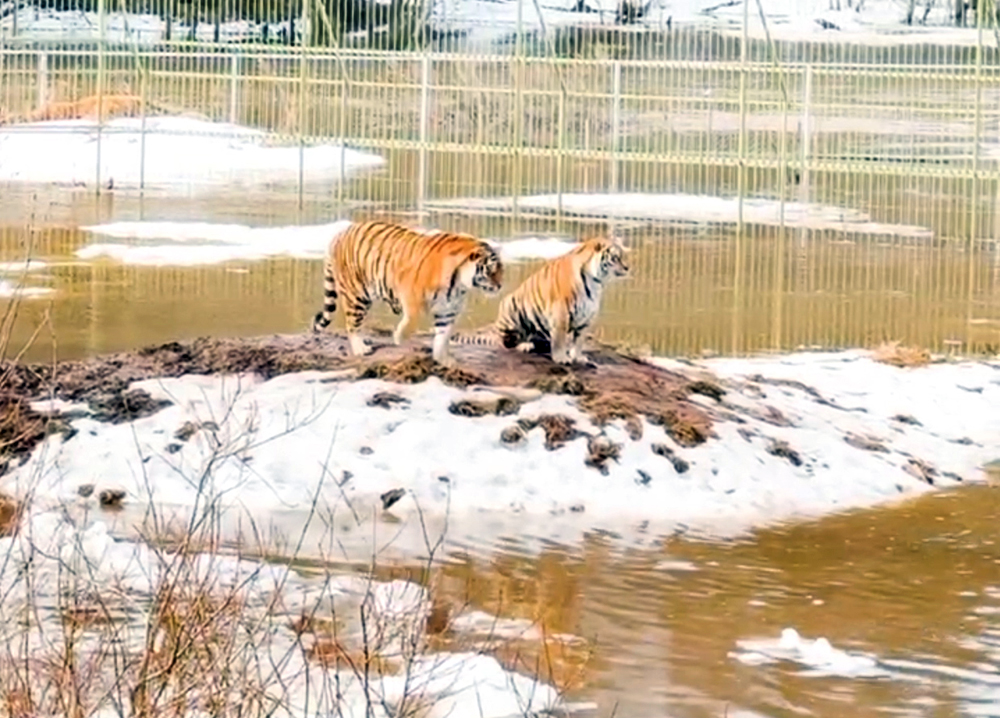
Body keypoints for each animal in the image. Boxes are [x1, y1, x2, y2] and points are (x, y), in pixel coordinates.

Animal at [310, 219, 504, 366]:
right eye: (491, 271)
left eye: (501, 269)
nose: (500, 286)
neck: (459, 284)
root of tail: (339, 235)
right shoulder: (411, 294)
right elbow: (412, 320)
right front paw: (400, 338)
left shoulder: (448, 310)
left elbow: (443, 336)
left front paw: (443, 359)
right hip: (356, 295)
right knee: (353, 324)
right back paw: (361, 349)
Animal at [458, 236, 628, 366]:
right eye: (615, 257)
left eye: (624, 256)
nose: (627, 268)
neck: (597, 282)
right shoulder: (561, 312)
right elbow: (560, 339)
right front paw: (561, 358)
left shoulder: (587, 317)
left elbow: (579, 341)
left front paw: (578, 357)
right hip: (511, 307)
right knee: (506, 342)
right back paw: (525, 345)